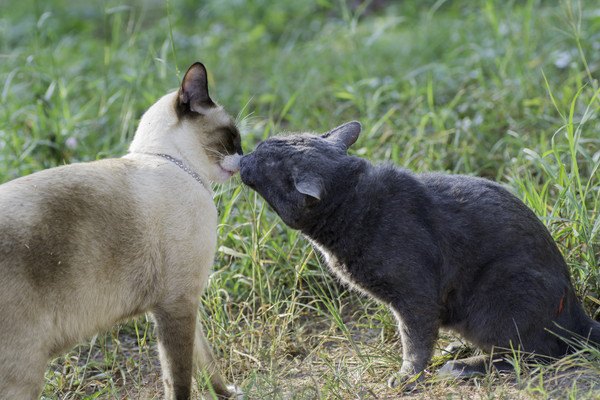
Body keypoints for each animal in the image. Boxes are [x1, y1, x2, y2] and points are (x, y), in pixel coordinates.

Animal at [1, 62, 244, 400]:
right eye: (232, 137)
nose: (244, 159)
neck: (175, 165)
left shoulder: (184, 301)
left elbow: (206, 361)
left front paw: (227, 394)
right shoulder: (177, 303)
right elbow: (180, 377)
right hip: (22, 376)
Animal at [239, 121, 600, 388]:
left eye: (267, 160)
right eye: (268, 144)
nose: (244, 155)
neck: (354, 204)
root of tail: (576, 311)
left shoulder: (415, 295)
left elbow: (415, 340)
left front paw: (406, 377)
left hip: (501, 296)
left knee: (536, 354)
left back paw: (463, 366)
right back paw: (458, 348)